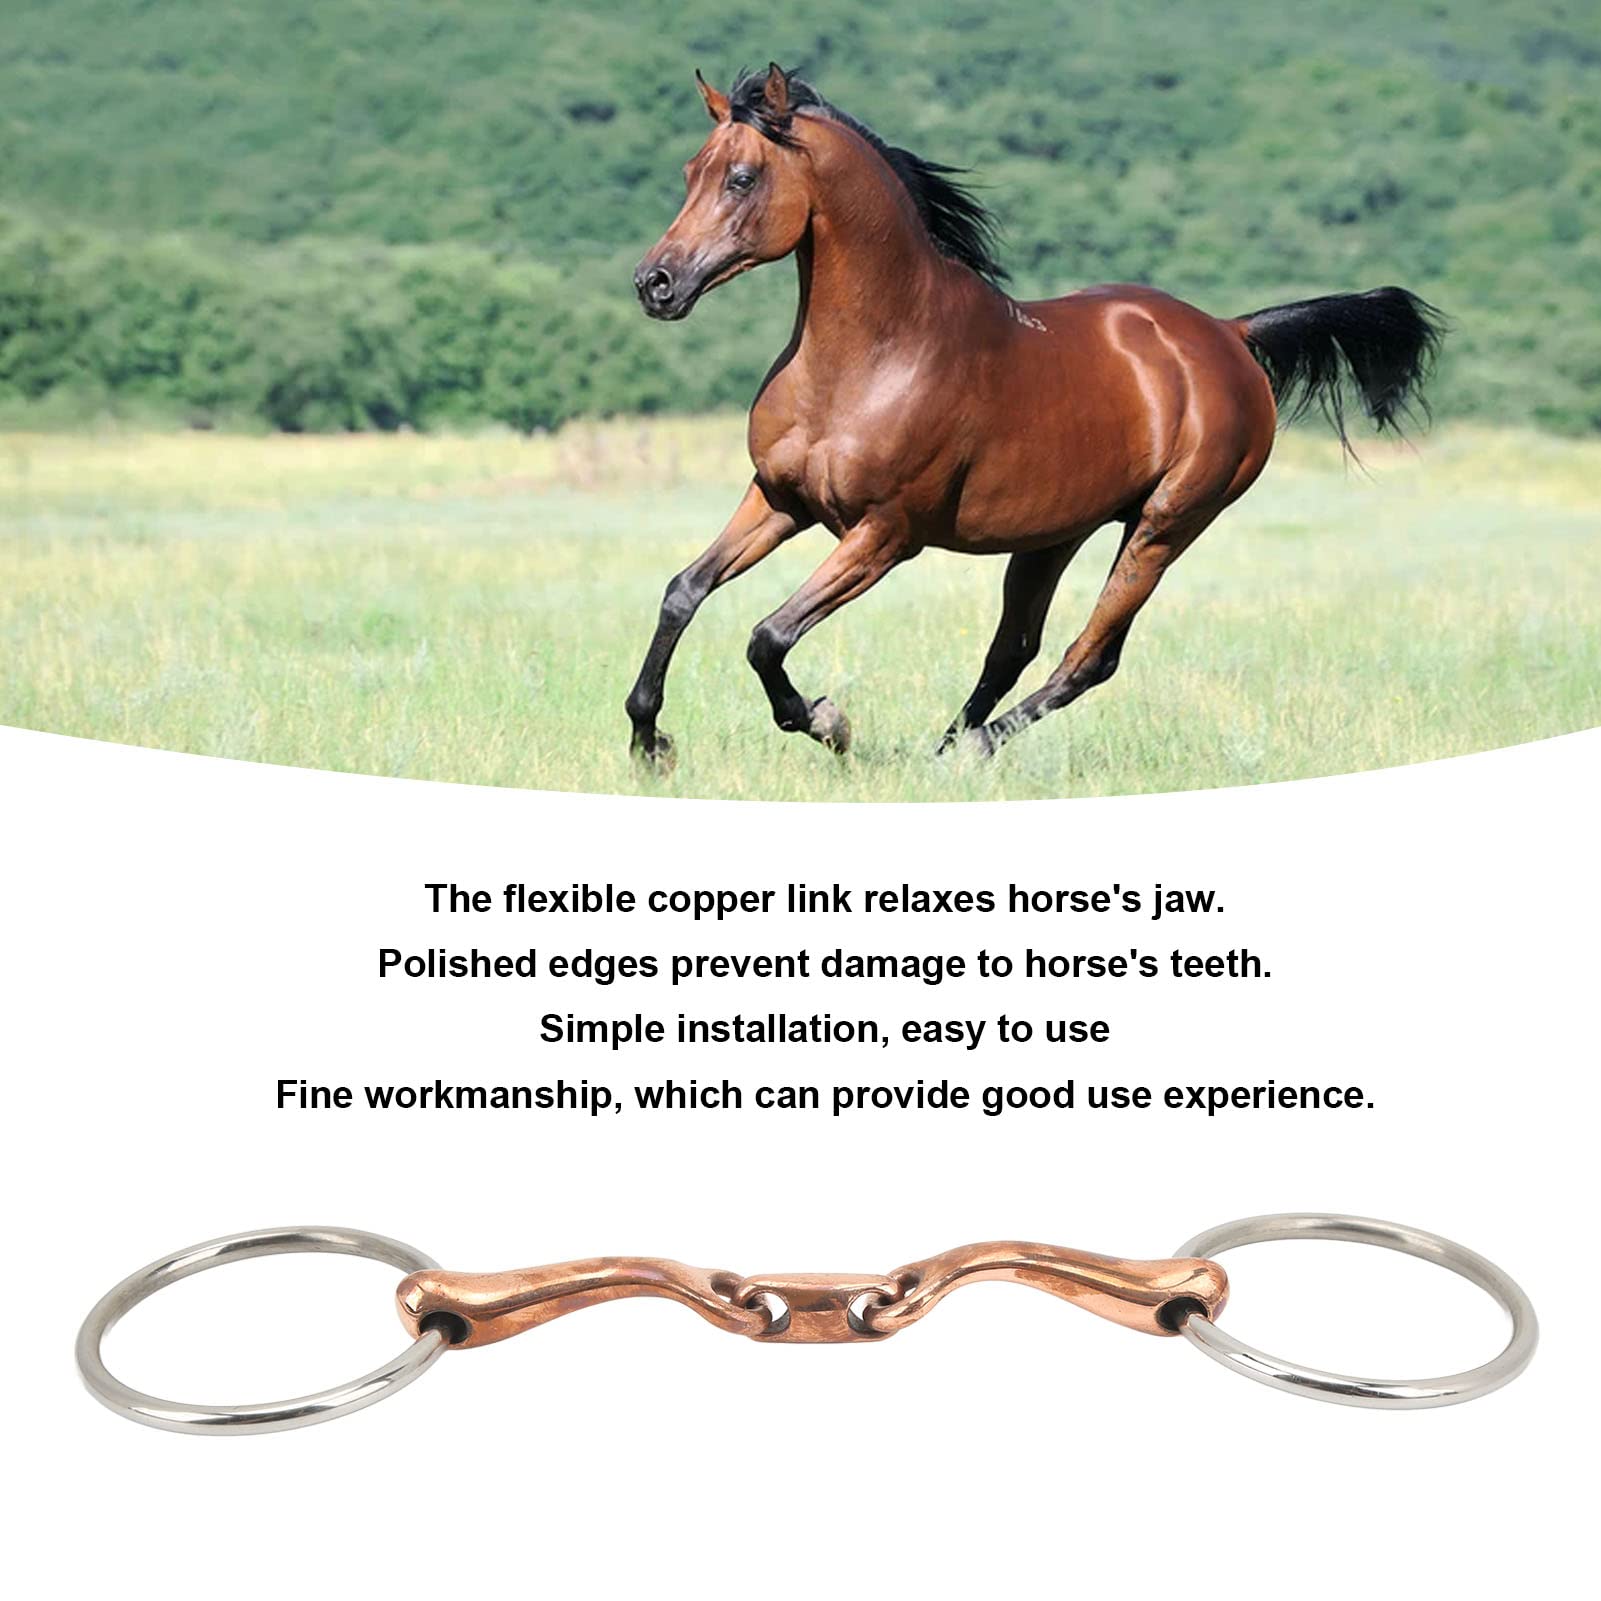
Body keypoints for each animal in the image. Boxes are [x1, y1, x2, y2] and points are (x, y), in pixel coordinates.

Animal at [625, 64, 1443, 768]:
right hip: (1054, 534)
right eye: (691, 171)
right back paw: (943, 752)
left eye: (741, 177)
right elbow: (682, 592)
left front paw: (829, 722)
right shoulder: (778, 499)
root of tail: (1228, 333)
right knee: (1011, 648)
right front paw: (648, 742)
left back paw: (969, 751)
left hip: (1164, 525)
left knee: (1089, 656)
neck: (874, 355)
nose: (654, 284)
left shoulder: (885, 536)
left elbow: (767, 636)